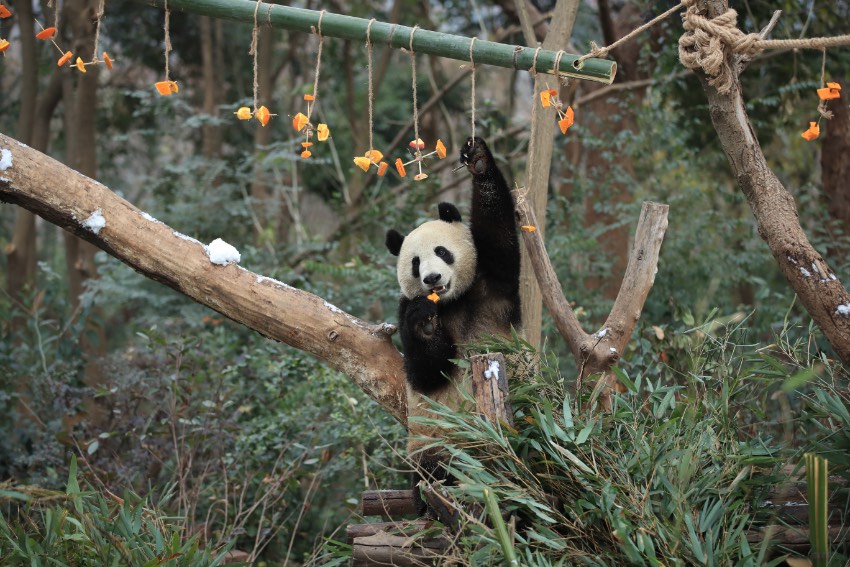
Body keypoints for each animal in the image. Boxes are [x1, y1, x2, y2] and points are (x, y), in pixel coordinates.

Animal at [385, 137, 521, 513]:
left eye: (442, 251)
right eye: (415, 263)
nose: (432, 279)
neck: (452, 301)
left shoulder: (491, 282)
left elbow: (499, 237)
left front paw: (479, 161)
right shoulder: (402, 310)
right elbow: (425, 372)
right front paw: (426, 325)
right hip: (433, 439)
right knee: (435, 467)